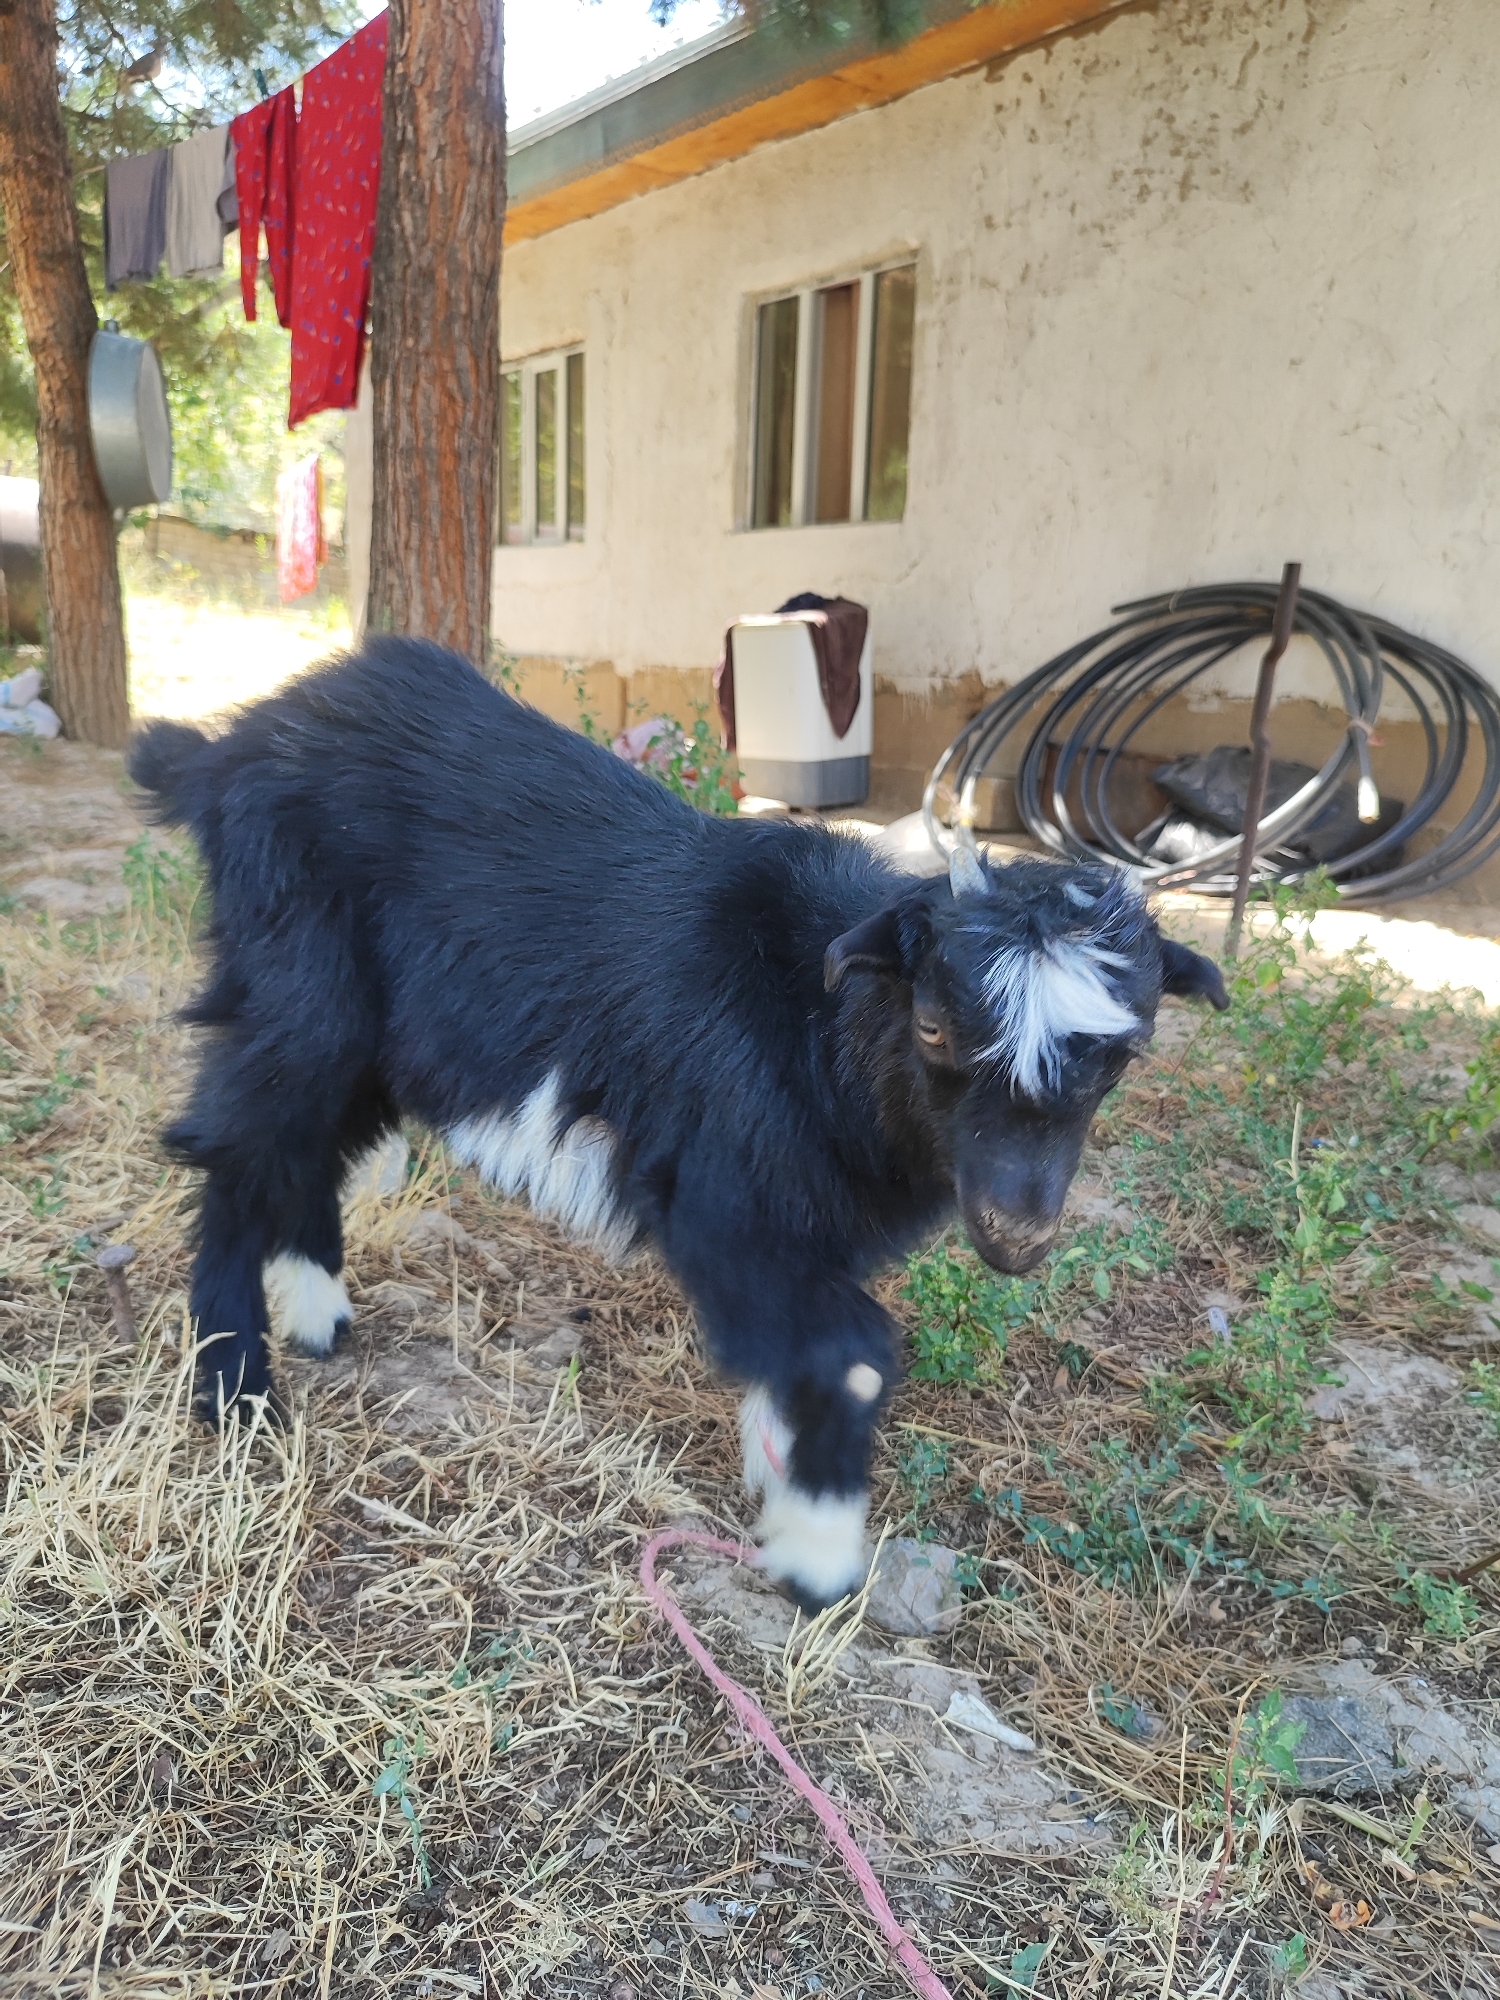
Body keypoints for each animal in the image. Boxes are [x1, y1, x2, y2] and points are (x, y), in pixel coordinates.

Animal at [129, 639, 1227, 1610]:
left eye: (1126, 1051)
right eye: (932, 1026)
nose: (1017, 1231)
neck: (814, 1019)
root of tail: (228, 748)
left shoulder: (800, 1231)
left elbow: (797, 1349)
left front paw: (782, 1470)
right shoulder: (725, 1199)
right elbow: (852, 1352)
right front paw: (817, 1551)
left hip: (368, 1032)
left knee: (304, 1147)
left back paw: (315, 1312)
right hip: (299, 981)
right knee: (238, 1152)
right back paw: (235, 1386)